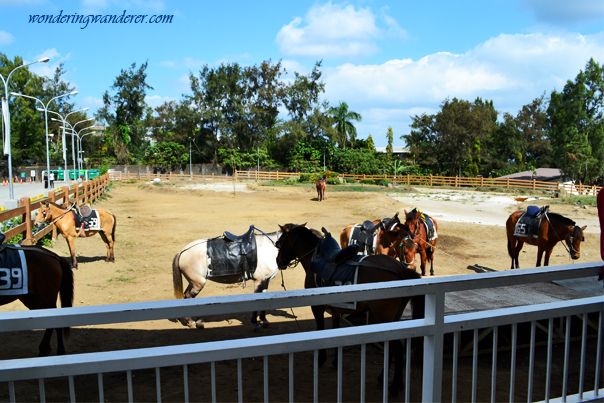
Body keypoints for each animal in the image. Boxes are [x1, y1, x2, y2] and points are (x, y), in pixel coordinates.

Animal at [276, 224, 422, 398]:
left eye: (280, 241)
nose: (278, 261)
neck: (316, 257)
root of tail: (401, 270)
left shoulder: (317, 308)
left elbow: (321, 330)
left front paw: (321, 359)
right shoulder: (336, 309)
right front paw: (335, 361)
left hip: (383, 317)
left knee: (397, 349)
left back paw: (395, 386)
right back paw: (383, 378)